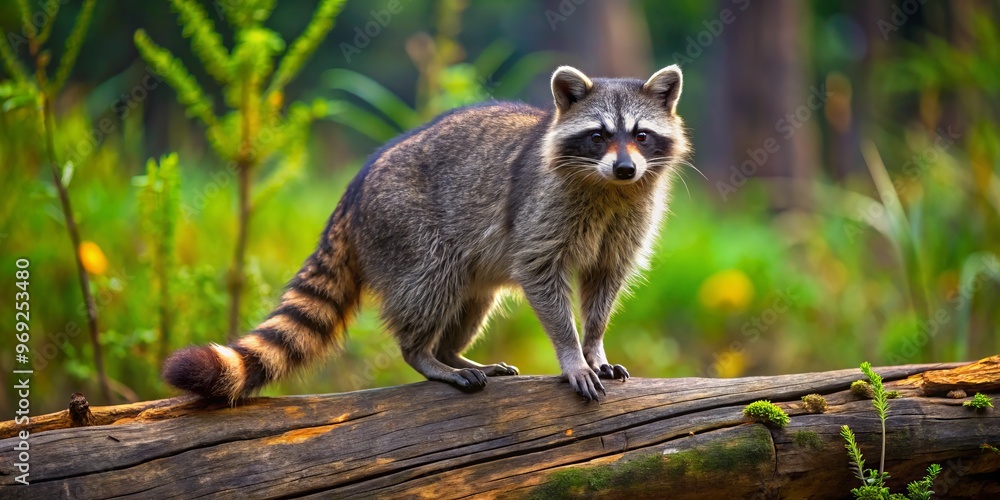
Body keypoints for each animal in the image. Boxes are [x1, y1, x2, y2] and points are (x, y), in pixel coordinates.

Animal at [163, 65, 689, 402]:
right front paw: (571, 352)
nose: (625, 169)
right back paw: (425, 355)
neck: (610, 190)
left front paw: (594, 345)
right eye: (599, 135)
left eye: (641, 135)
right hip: (406, 228)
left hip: (461, 260)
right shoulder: (541, 212)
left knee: (470, 300)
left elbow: (605, 282)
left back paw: (452, 352)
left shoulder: (626, 222)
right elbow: (542, 278)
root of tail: (354, 190)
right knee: (430, 285)